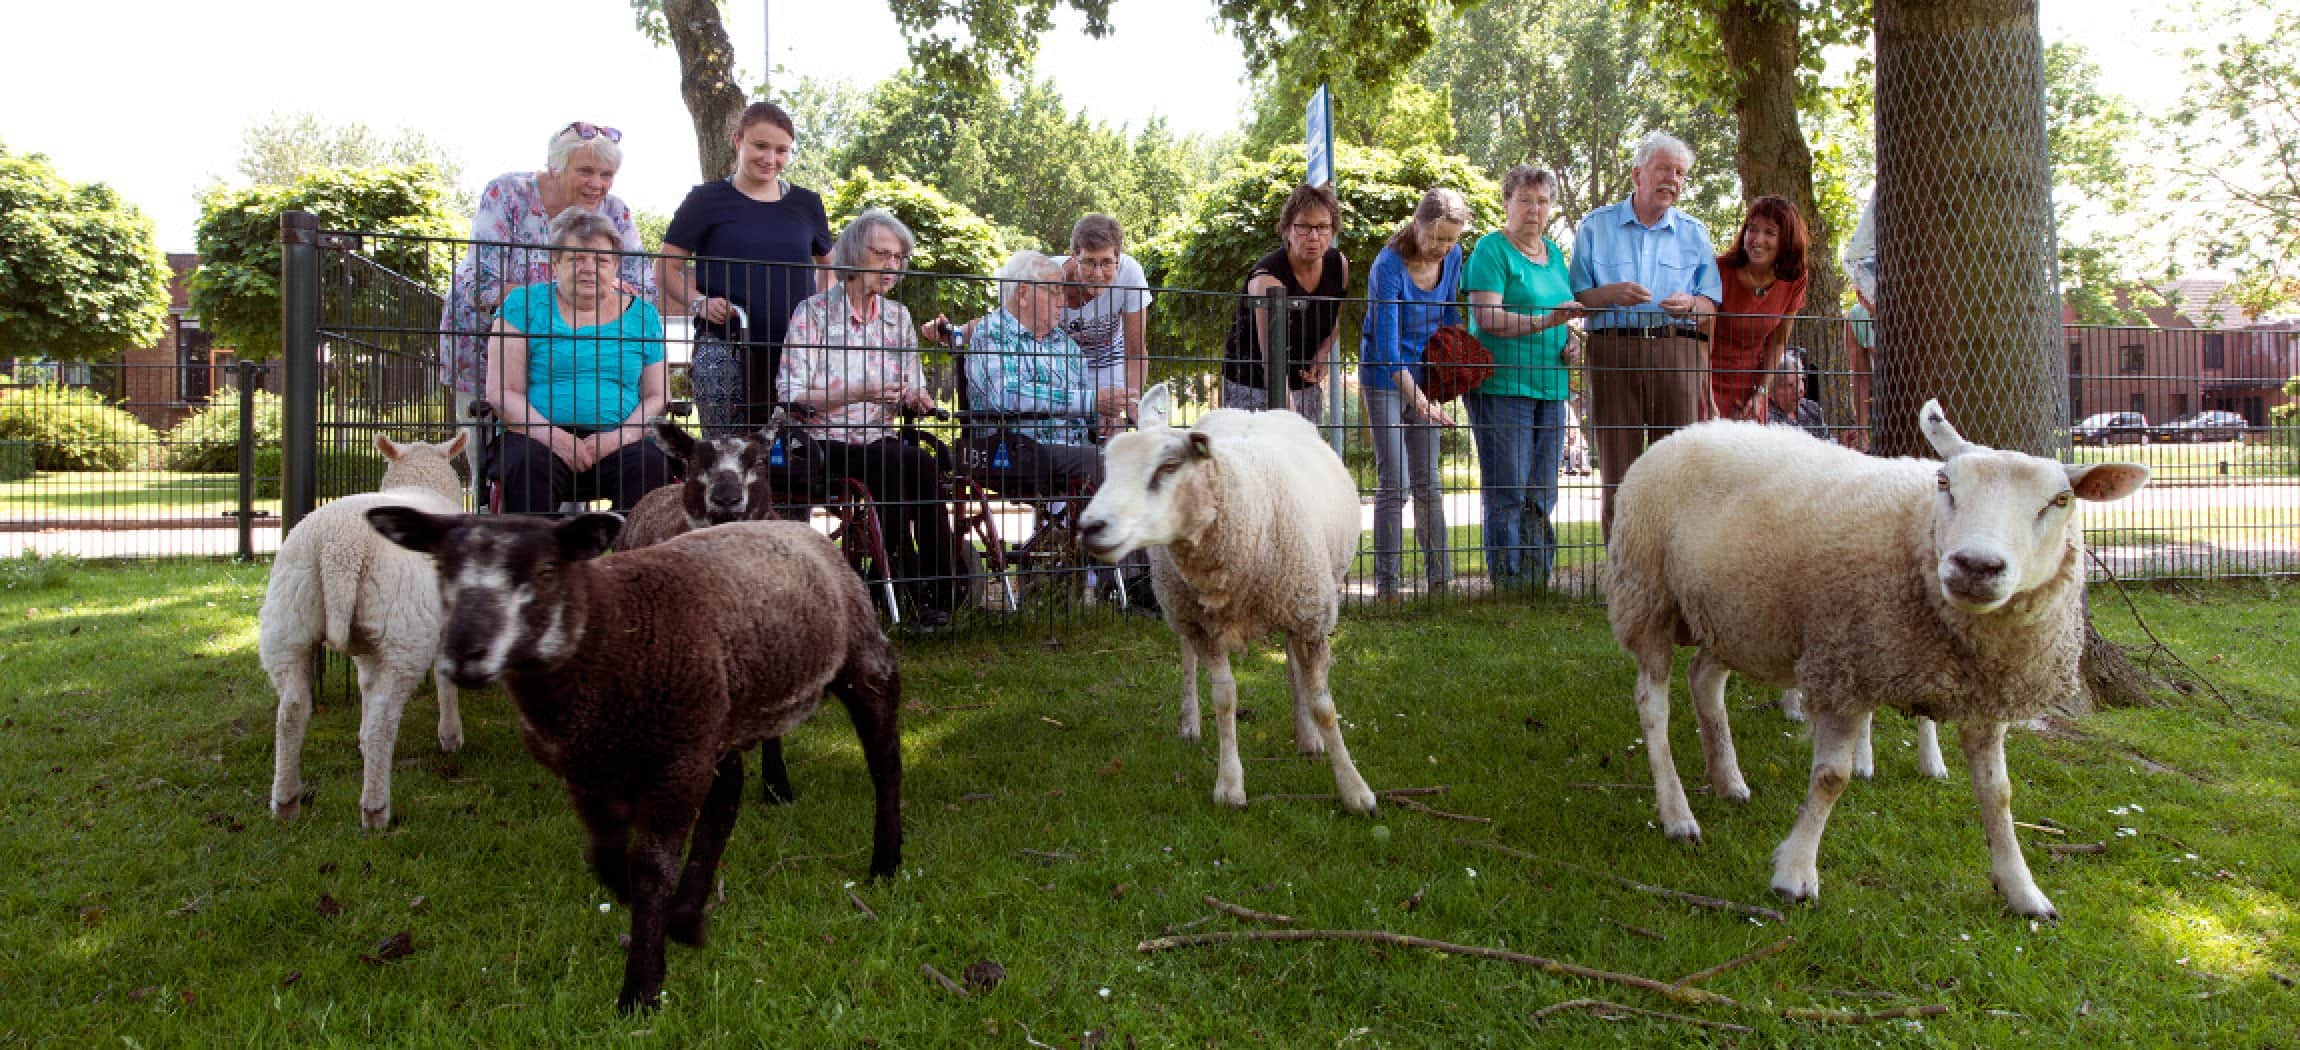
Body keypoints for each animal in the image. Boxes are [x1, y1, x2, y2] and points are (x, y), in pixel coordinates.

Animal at [264, 431, 471, 827]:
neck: (421, 481)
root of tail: (340, 546)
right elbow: (445, 680)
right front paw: (450, 735)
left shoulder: (366, 644)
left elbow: (366, 685)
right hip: (404, 631)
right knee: (383, 720)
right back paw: (375, 809)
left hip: (288, 619)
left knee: (290, 712)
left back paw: (286, 802)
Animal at [363, 507, 901, 1006]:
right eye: (442, 568)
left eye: (544, 572)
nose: (463, 654)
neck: (608, 635)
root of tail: (801, 527)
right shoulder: (588, 775)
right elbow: (604, 859)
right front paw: (660, 924)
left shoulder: (675, 766)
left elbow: (650, 868)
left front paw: (640, 988)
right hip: (716, 718)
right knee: (724, 803)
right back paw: (688, 911)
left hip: (862, 662)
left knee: (884, 766)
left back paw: (887, 862)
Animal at [1071, 388, 1370, 813]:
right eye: (1109, 467)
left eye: (1169, 466)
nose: (1090, 527)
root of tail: (1255, 410)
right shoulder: (1202, 626)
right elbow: (1224, 699)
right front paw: (1230, 785)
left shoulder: (1310, 617)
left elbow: (1324, 706)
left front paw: (1355, 789)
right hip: (1180, 604)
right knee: (1186, 658)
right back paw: (1190, 723)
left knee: (1293, 665)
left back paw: (1306, 737)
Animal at [1600, 402, 2152, 919]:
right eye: (1945, 483)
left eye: (2060, 501)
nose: (1975, 566)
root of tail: (1690, 430)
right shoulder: (1843, 668)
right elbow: (1830, 778)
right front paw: (1795, 874)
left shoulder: (1980, 697)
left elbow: (1998, 794)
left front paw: (2022, 890)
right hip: (1647, 593)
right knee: (1652, 706)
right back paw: (1677, 814)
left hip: (1735, 617)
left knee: (1705, 681)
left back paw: (1728, 779)